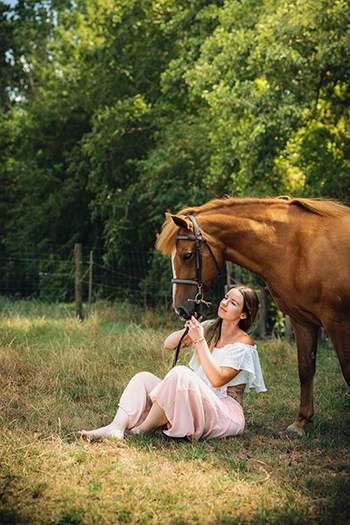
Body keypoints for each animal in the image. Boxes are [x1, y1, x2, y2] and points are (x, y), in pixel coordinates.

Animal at [157, 195, 350, 434]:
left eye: (187, 255)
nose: (181, 309)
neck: (298, 248)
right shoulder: (302, 321)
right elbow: (305, 369)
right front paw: (299, 423)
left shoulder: (338, 322)